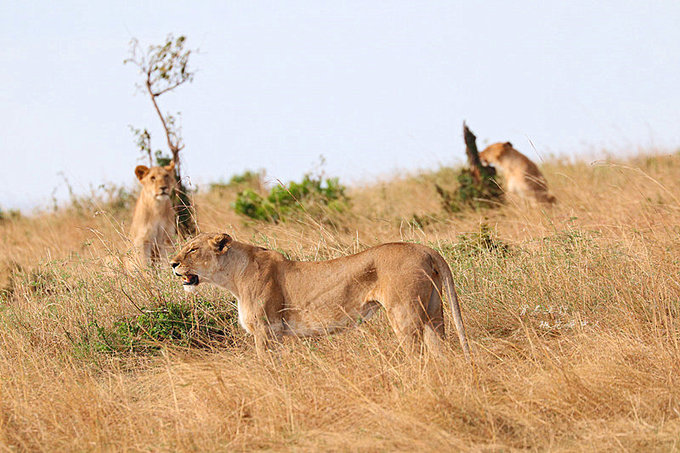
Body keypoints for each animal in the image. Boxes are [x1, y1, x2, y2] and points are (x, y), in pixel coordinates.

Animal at [169, 231, 472, 358]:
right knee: (441, 352)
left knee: (417, 354)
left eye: (193, 249)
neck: (232, 276)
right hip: (434, 312)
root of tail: (425, 248)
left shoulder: (266, 331)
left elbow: (265, 366)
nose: (172, 263)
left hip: (404, 314)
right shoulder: (276, 335)